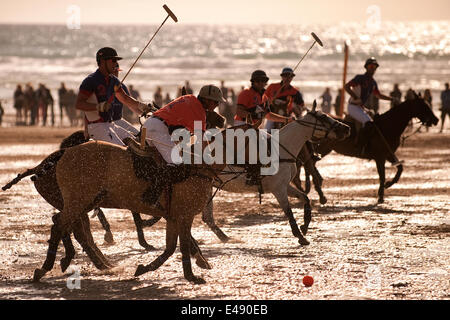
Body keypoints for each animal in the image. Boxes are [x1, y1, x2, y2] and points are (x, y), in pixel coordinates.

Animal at [201, 107, 352, 245]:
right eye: (324, 117)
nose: (347, 128)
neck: (280, 150)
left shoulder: (285, 186)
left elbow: (305, 198)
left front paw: (304, 226)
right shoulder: (278, 190)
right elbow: (289, 212)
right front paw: (300, 236)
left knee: (207, 218)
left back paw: (225, 238)